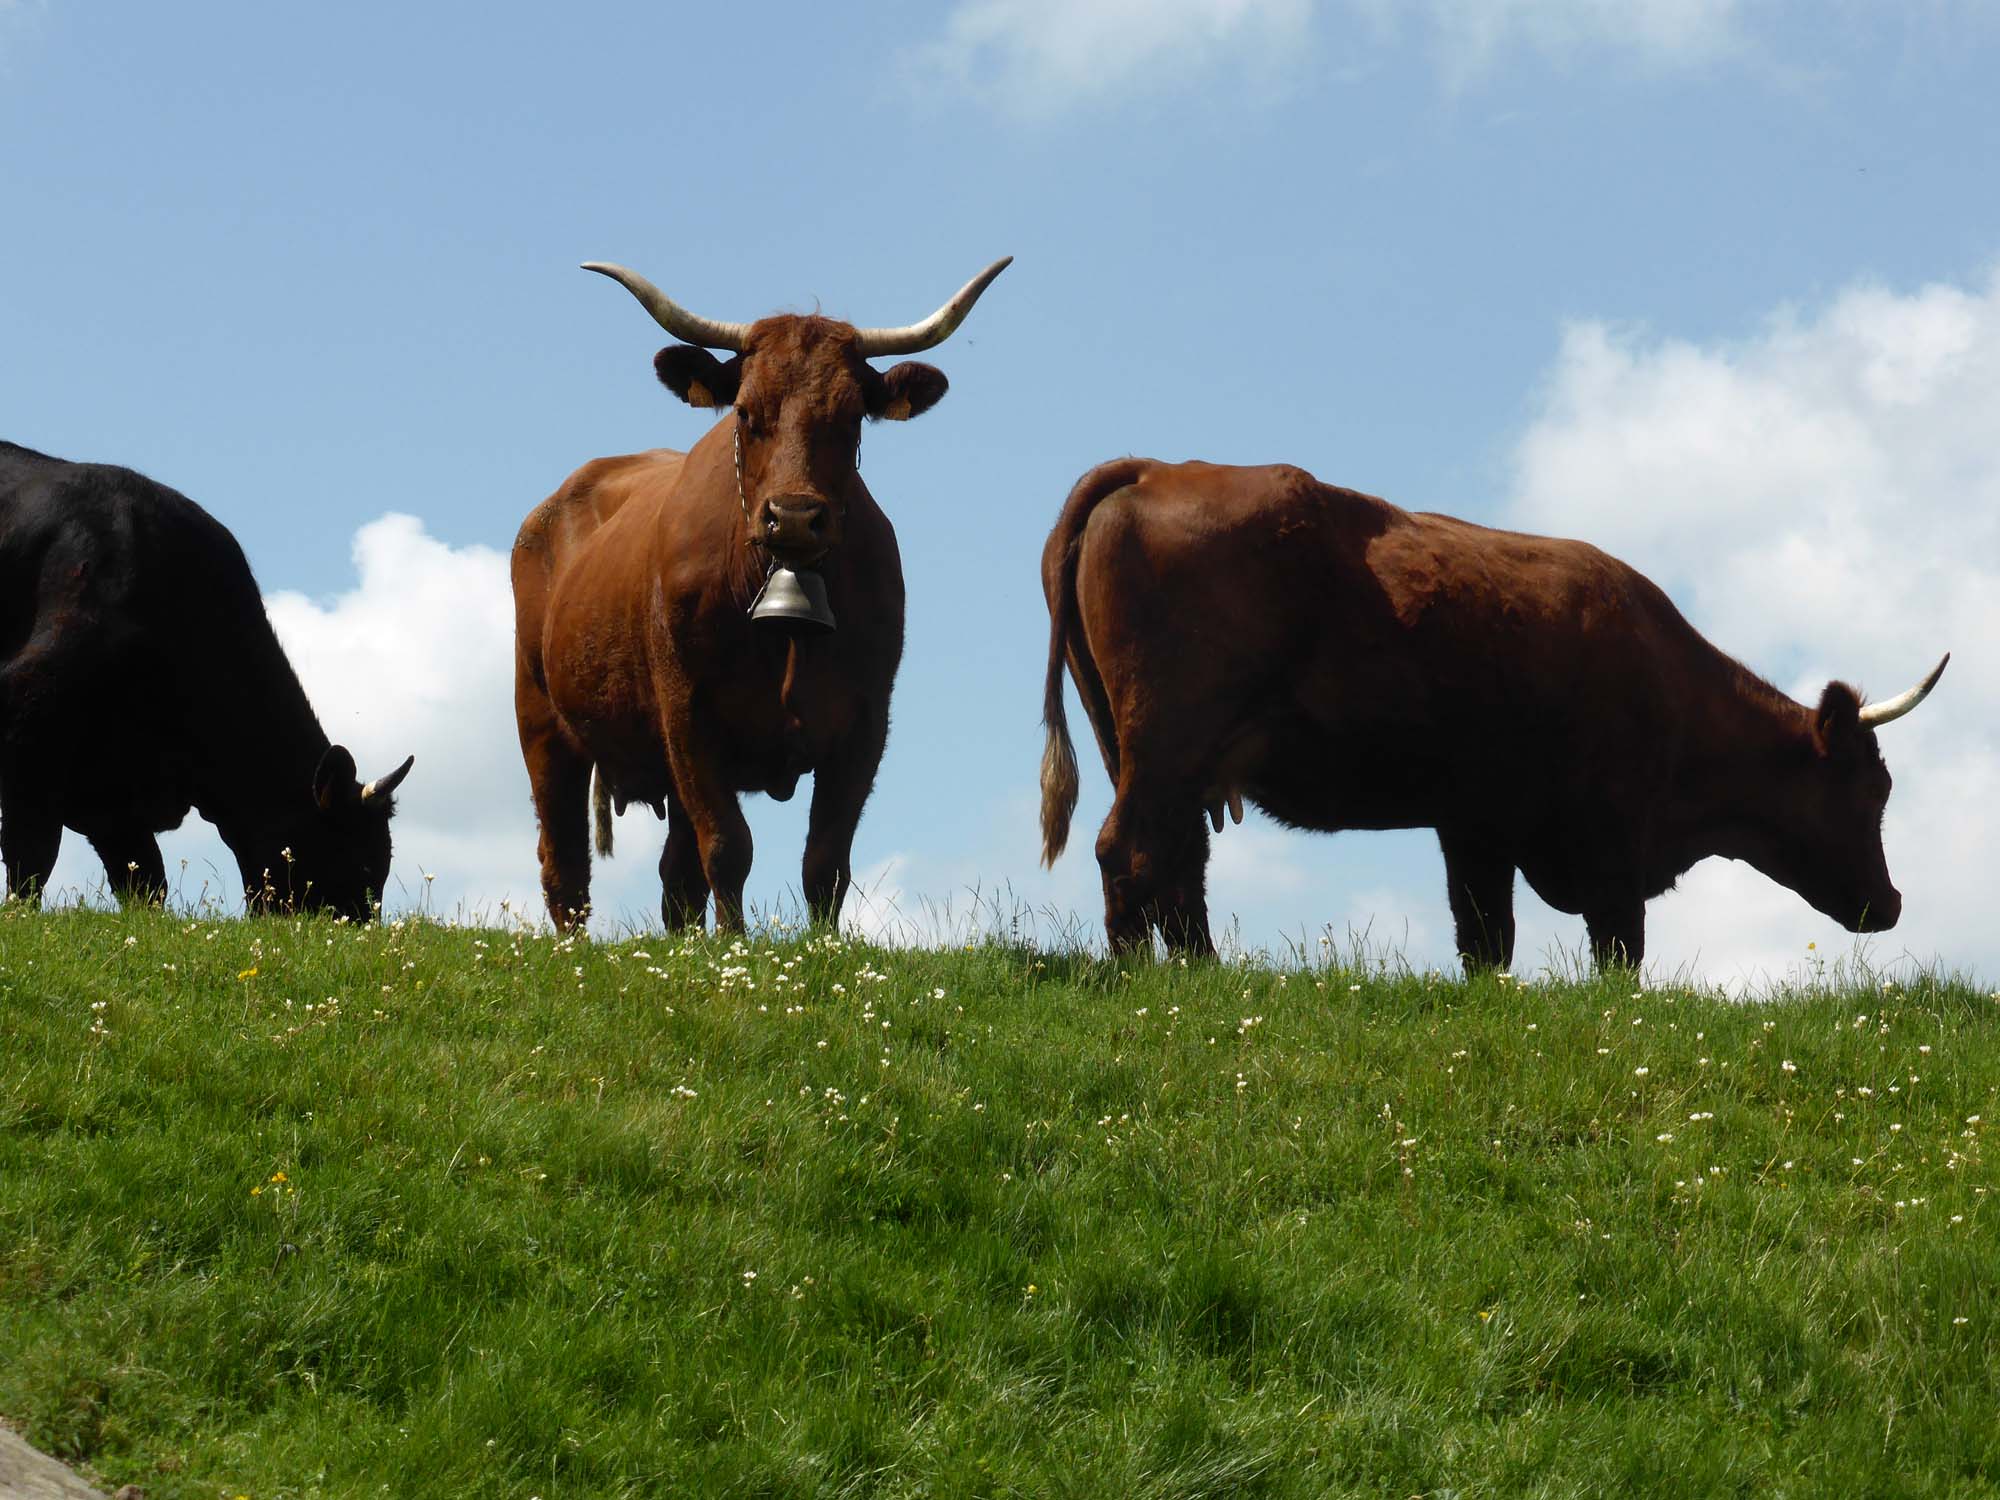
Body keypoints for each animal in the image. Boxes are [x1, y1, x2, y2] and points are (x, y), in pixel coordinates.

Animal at [516, 264, 1016, 936]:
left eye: (851, 417)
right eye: (747, 413)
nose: (796, 517)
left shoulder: (865, 724)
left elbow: (825, 860)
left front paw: (823, 945)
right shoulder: (689, 718)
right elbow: (729, 846)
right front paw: (734, 942)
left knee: (675, 878)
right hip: (541, 722)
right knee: (565, 863)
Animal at [1040, 458, 1944, 976]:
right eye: (1871, 791)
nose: (1893, 902)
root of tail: (1157, 468)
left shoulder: (1476, 824)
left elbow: (1485, 939)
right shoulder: (1609, 839)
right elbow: (1618, 948)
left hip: (1152, 754)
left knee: (1176, 864)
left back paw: (1203, 974)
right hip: (1168, 740)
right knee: (1130, 853)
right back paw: (1141, 979)